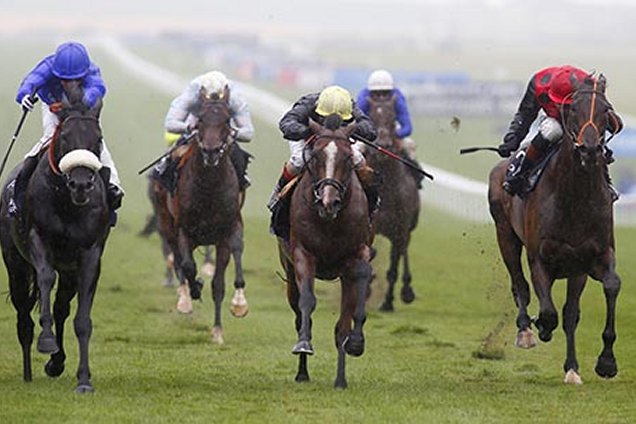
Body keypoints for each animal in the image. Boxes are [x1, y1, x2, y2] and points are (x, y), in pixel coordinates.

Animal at [0, 92, 112, 390]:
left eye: (98, 138)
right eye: (64, 138)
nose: (81, 184)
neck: (68, 204)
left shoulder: (89, 256)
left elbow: (81, 320)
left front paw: (83, 379)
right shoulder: (38, 239)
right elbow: (45, 277)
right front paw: (47, 340)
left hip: (69, 271)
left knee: (62, 308)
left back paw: (57, 362)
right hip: (15, 264)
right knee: (23, 313)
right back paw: (29, 371)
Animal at [153, 88, 247, 342]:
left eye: (226, 119)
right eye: (201, 119)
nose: (212, 151)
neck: (209, 188)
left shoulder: (226, 234)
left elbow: (218, 284)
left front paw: (218, 330)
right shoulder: (184, 231)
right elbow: (187, 266)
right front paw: (194, 290)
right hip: (167, 224)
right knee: (178, 260)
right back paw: (185, 297)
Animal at [278, 117, 372, 390]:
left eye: (348, 158)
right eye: (316, 156)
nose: (328, 203)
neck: (330, 222)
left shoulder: (357, 257)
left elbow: (346, 323)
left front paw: (356, 343)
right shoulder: (302, 255)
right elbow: (307, 304)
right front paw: (304, 344)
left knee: (341, 326)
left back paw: (340, 379)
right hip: (289, 270)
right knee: (299, 315)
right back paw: (302, 373)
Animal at [490, 73, 620, 384]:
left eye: (605, 110)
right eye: (572, 109)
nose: (589, 149)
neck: (575, 197)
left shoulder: (591, 258)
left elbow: (606, 289)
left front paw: (604, 362)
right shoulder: (540, 257)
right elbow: (547, 310)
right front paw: (541, 327)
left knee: (568, 312)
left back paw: (571, 366)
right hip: (505, 236)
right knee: (520, 285)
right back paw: (526, 330)